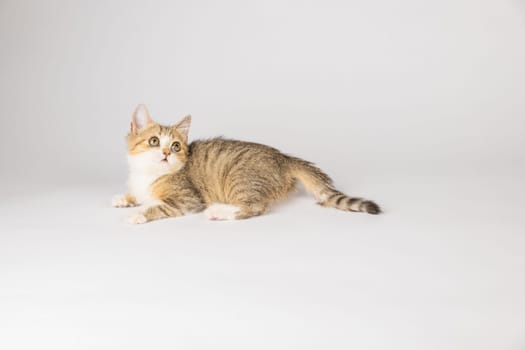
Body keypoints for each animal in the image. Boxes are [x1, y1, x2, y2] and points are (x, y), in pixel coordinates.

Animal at [111, 104, 380, 224]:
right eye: (154, 141)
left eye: (176, 146)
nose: (166, 153)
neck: (148, 174)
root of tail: (283, 157)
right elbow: (137, 195)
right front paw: (124, 198)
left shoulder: (188, 199)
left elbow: (159, 206)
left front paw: (139, 213)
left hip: (240, 178)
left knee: (254, 207)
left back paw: (220, 211)